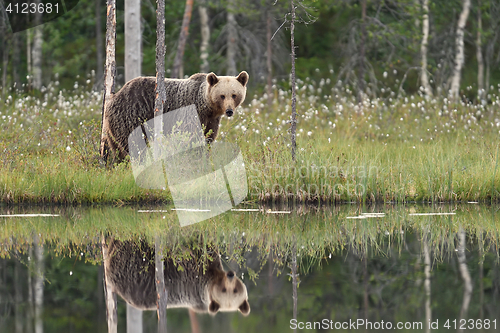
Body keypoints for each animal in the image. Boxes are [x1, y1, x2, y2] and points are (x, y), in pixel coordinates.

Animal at [100, 71, 249, 162]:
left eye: (234, 95)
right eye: (222, 95)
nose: (229, 111)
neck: (207, 107)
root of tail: (113, 97)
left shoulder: (211, 120)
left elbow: (208, 137)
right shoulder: (191, 113)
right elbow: (191, 137)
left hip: (113, 126)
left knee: (117, 148)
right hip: (130, 116)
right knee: (133, 145)